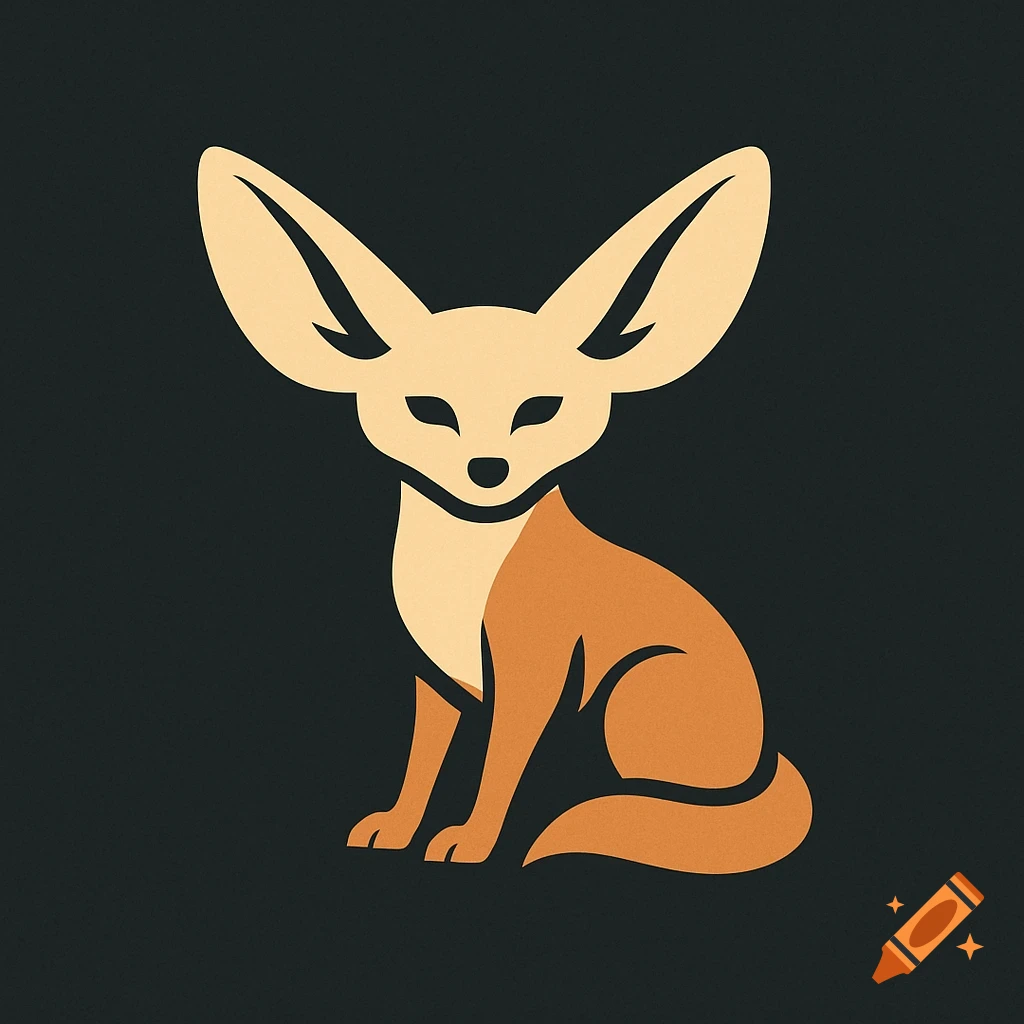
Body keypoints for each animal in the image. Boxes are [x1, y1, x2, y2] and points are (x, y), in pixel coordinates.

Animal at [198, 144, 812, 873]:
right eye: (428, 409)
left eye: (541, 408)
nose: (487, 470)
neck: (463, 563)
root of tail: (770, 757)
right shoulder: (434, 681)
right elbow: (422, 765)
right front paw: (400, 829)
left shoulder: (532, 675)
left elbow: (499, 768)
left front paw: (472, 841)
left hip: (633, 689)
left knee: (667, 803)